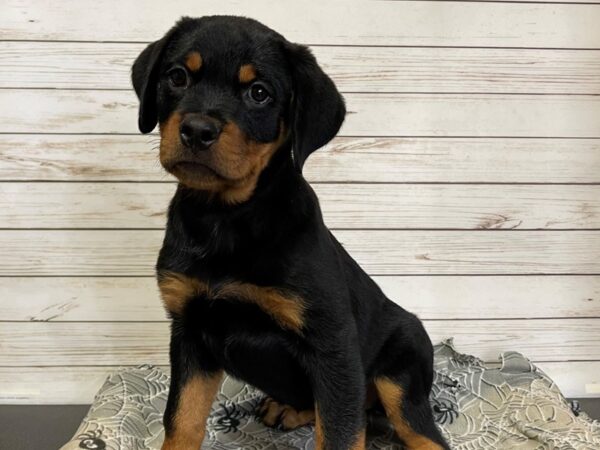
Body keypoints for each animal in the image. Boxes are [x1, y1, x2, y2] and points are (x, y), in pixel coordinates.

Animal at [132, 14, 450, 450]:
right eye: (177, 76)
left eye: (259, 93)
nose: (197, 130)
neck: (225, 217)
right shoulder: (189, 332)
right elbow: (182, 419)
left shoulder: (332, 345)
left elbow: (339, 432)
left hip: (400, 368)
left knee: (416, 429)